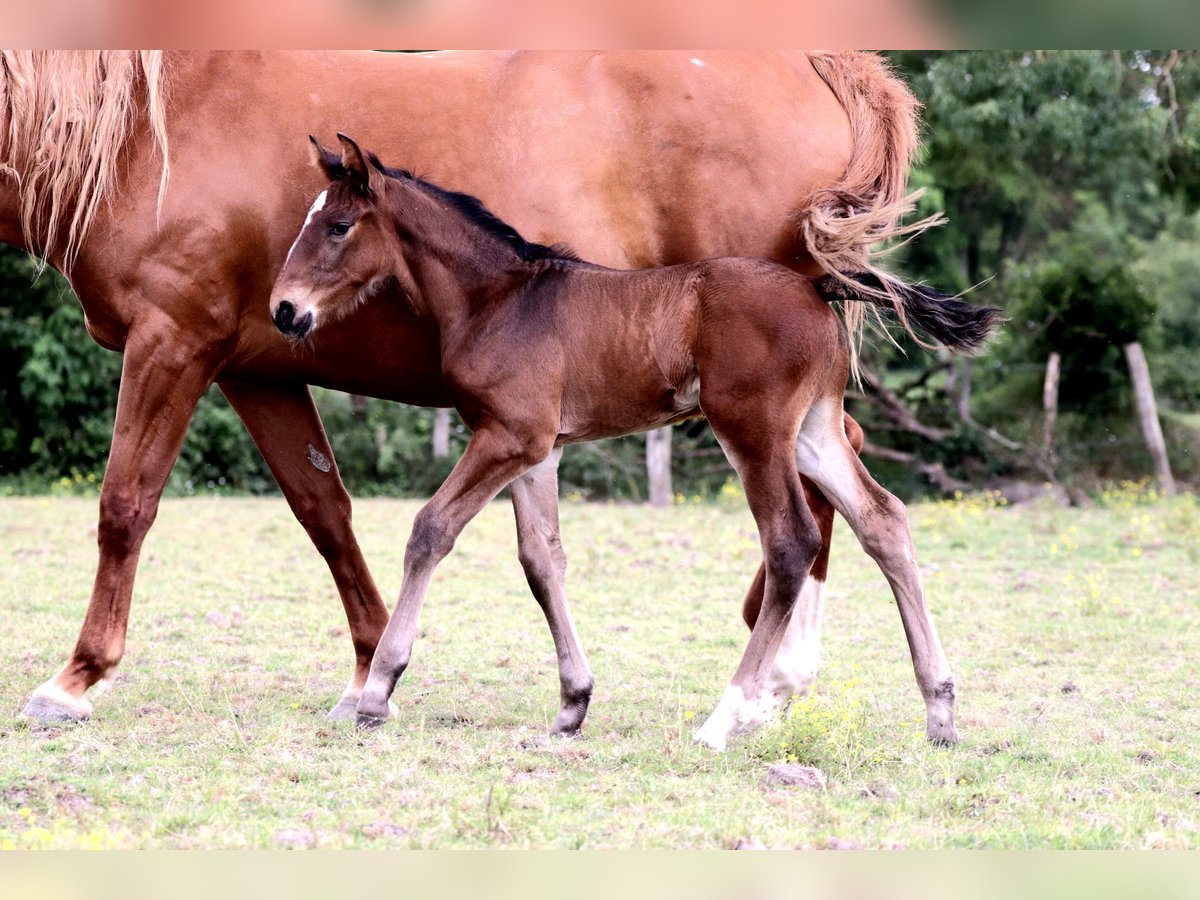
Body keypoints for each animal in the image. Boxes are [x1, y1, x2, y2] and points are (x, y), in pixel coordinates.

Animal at [272, 135, 1003, 753]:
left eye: (338, 226)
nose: (284, 310)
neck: (498, 300)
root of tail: (815, 285)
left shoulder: (508, 435)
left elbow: (430, 529)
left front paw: (376, 692)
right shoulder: (540, 450)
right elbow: (542, 560)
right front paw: (572, 704)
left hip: (754, 429)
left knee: (792, 541)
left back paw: (723, 719)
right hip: (814, 431)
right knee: (884, 521)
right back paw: (940, 711)